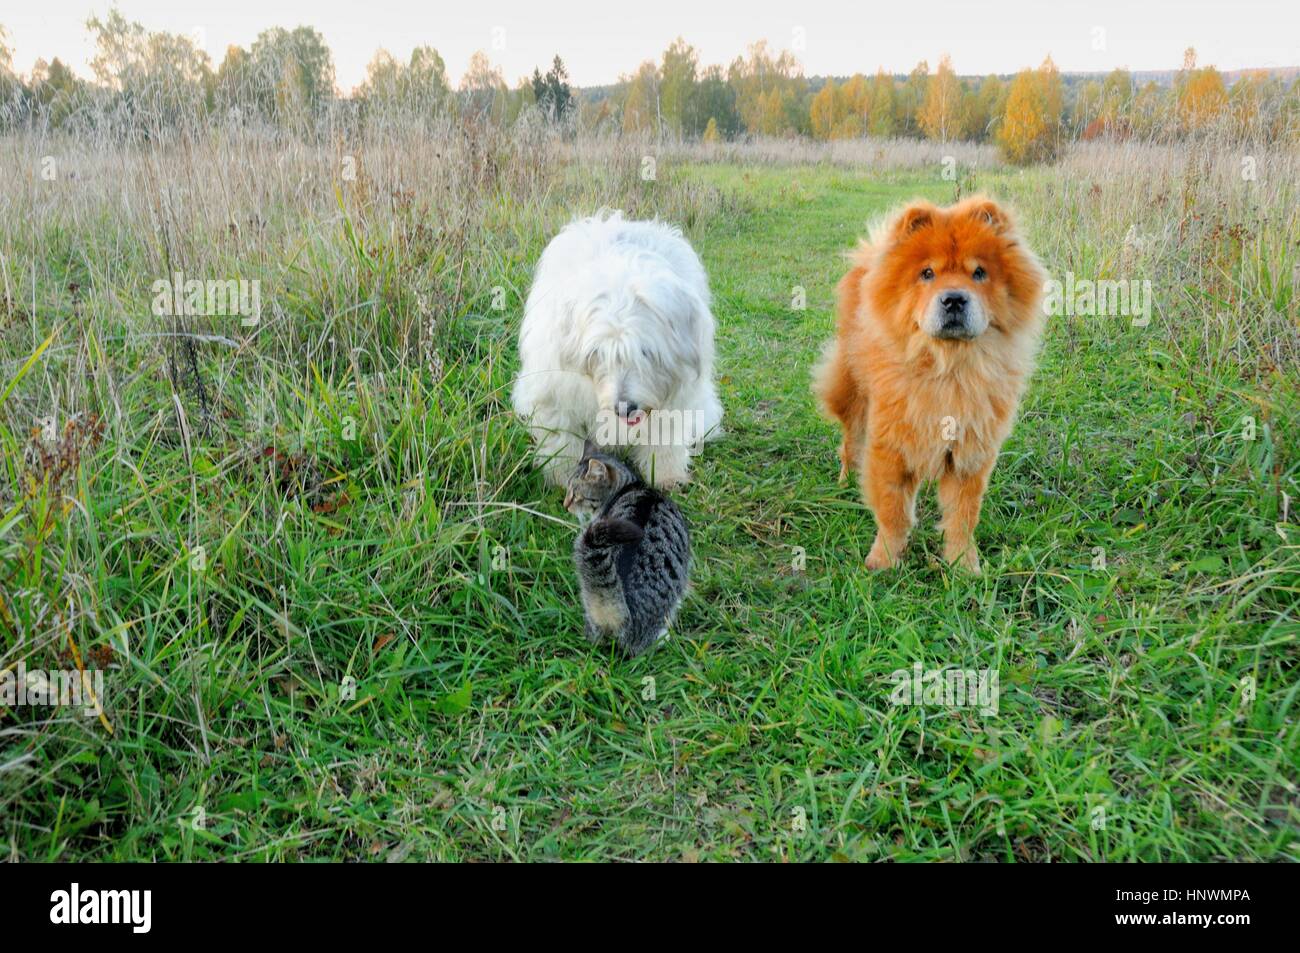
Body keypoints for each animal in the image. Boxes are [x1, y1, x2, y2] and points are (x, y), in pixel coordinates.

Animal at [514, 211, 722, 486]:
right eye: (597, 353)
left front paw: (666, 476)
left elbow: (665, 437)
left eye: (646, 352)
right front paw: (563, 477)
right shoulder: (552, 394)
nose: (624, 408)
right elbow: (561, 439)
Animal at [811, 193, 1045, 572]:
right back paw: (845, 482)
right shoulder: (890, 447)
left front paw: (964, 566)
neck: (947, 370)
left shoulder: (969, 454)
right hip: (853, 393)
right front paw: (884, 561)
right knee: (849, 441)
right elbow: (892, 512)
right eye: (928, 273)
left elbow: (963, 516)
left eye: (979, 273)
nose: (954, 299)